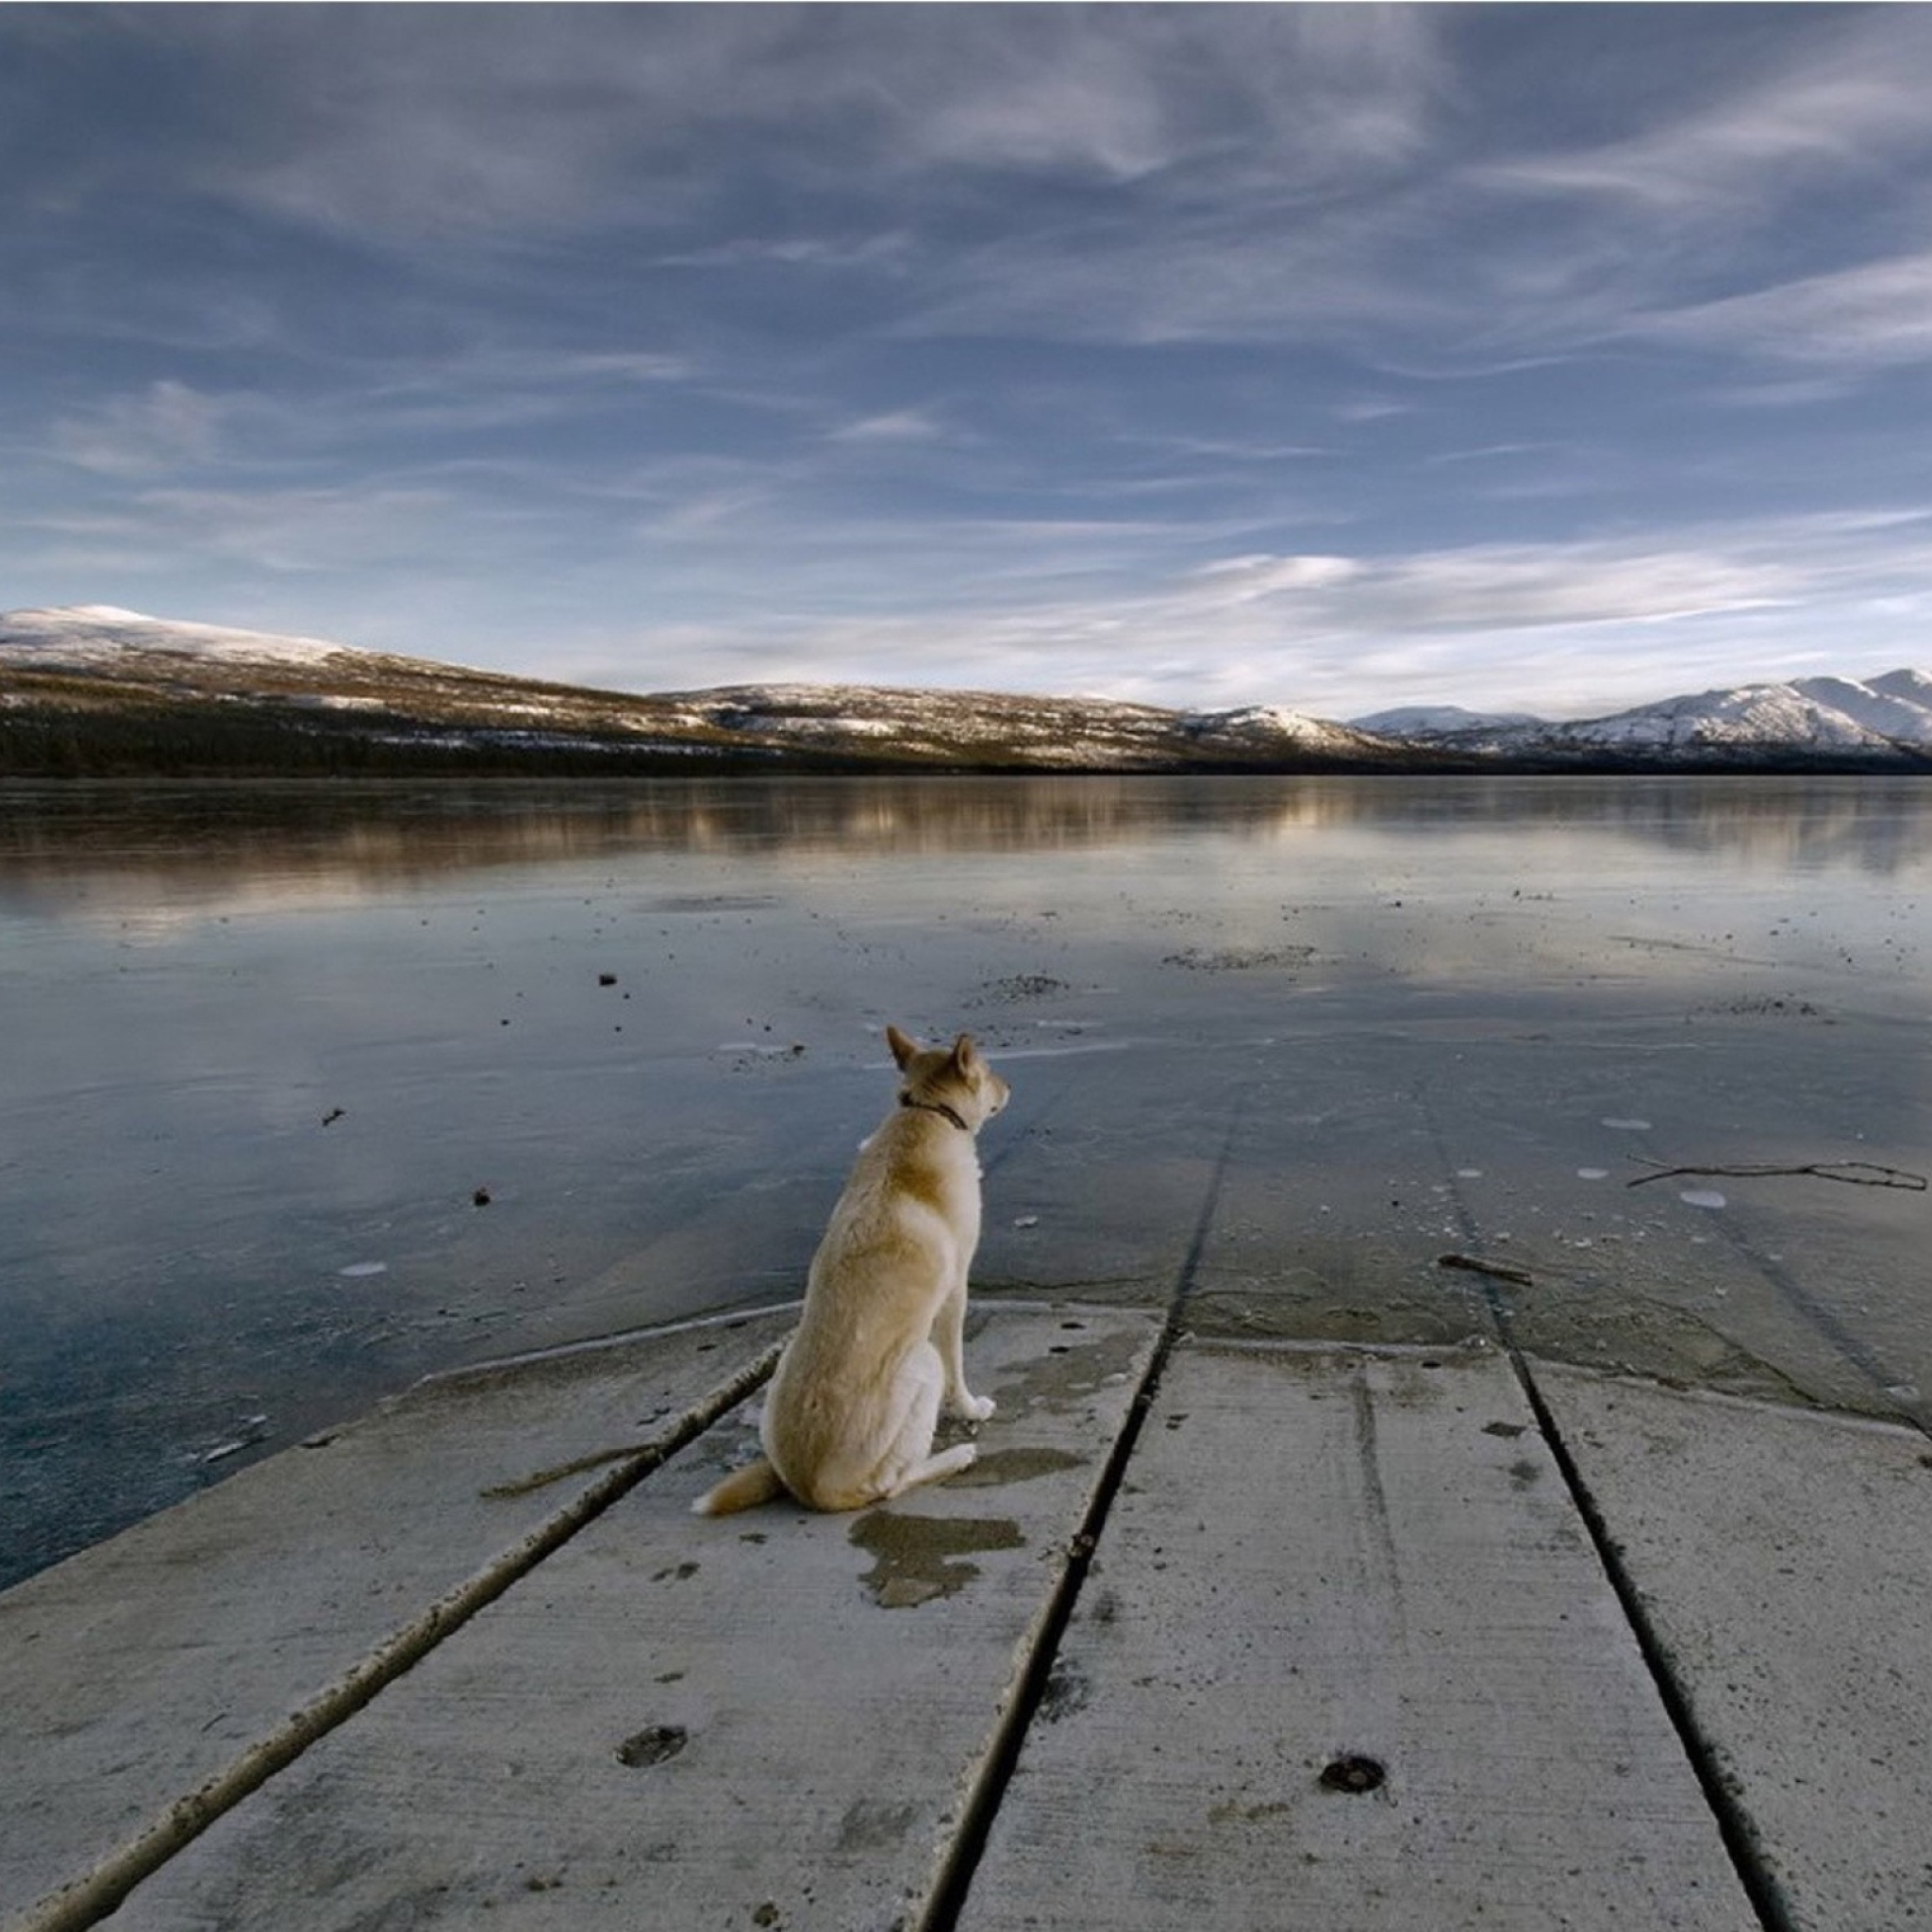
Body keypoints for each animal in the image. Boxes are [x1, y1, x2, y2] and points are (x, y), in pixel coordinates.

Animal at [695, 1035, 1012, 1514]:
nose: (1009, 1086)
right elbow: (957, 1365)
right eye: (988, 1071)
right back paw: (957, 1456)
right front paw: (970, 1409)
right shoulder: (956, 1289)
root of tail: (809, 1488)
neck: (927, 1112)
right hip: (921, 1361)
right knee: (891, 1485)